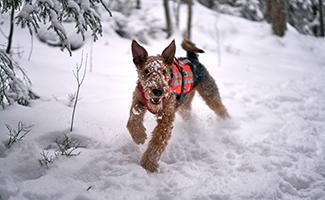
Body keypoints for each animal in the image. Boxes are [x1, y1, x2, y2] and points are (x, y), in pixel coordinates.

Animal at [125, 38, 229, 172]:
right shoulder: (138, 99)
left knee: (221, 109)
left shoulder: (166, 117)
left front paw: (148, 164)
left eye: (164, 71)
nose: (157, 91)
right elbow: (133, 118)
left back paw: (229, 124)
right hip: (184, 107)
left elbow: (157, 142)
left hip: (210, 95)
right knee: (189, 115)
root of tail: (193, 58)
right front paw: (139, 135)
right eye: (146, 71)